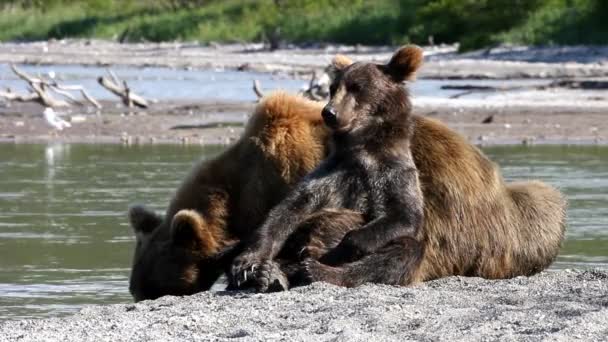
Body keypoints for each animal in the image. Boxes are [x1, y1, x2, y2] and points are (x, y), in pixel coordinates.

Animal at [127, 46, 564, 302]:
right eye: (138, 277)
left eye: (150, 279)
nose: (135, 291)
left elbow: (328, 225)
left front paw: (271, 270)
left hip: (500, 228)